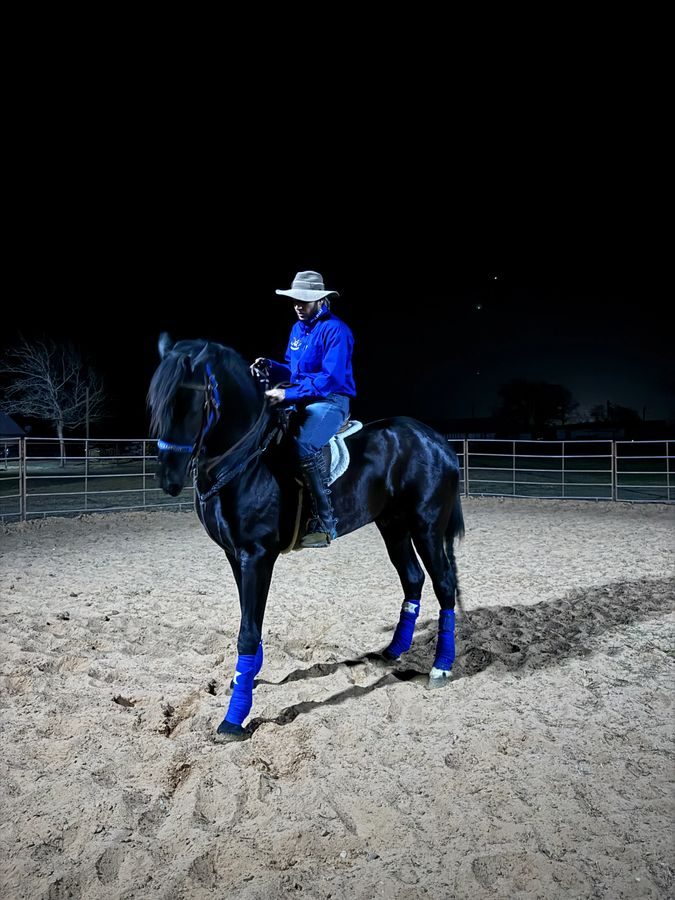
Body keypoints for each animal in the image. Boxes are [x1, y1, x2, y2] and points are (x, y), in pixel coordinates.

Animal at [148, 333, 465, 741]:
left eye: (185, 402)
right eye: (156, 403)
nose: (167, 479)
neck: (247, 459)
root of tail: (436, 440)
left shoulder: (257, 555)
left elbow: (248, 630)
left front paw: (235, 716)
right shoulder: (236, 555)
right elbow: (249, 619)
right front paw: (245, 679)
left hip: (426, 527)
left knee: (443, 585)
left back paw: (442, 665)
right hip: (392, 524)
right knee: (413, 578)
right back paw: (394, 650)